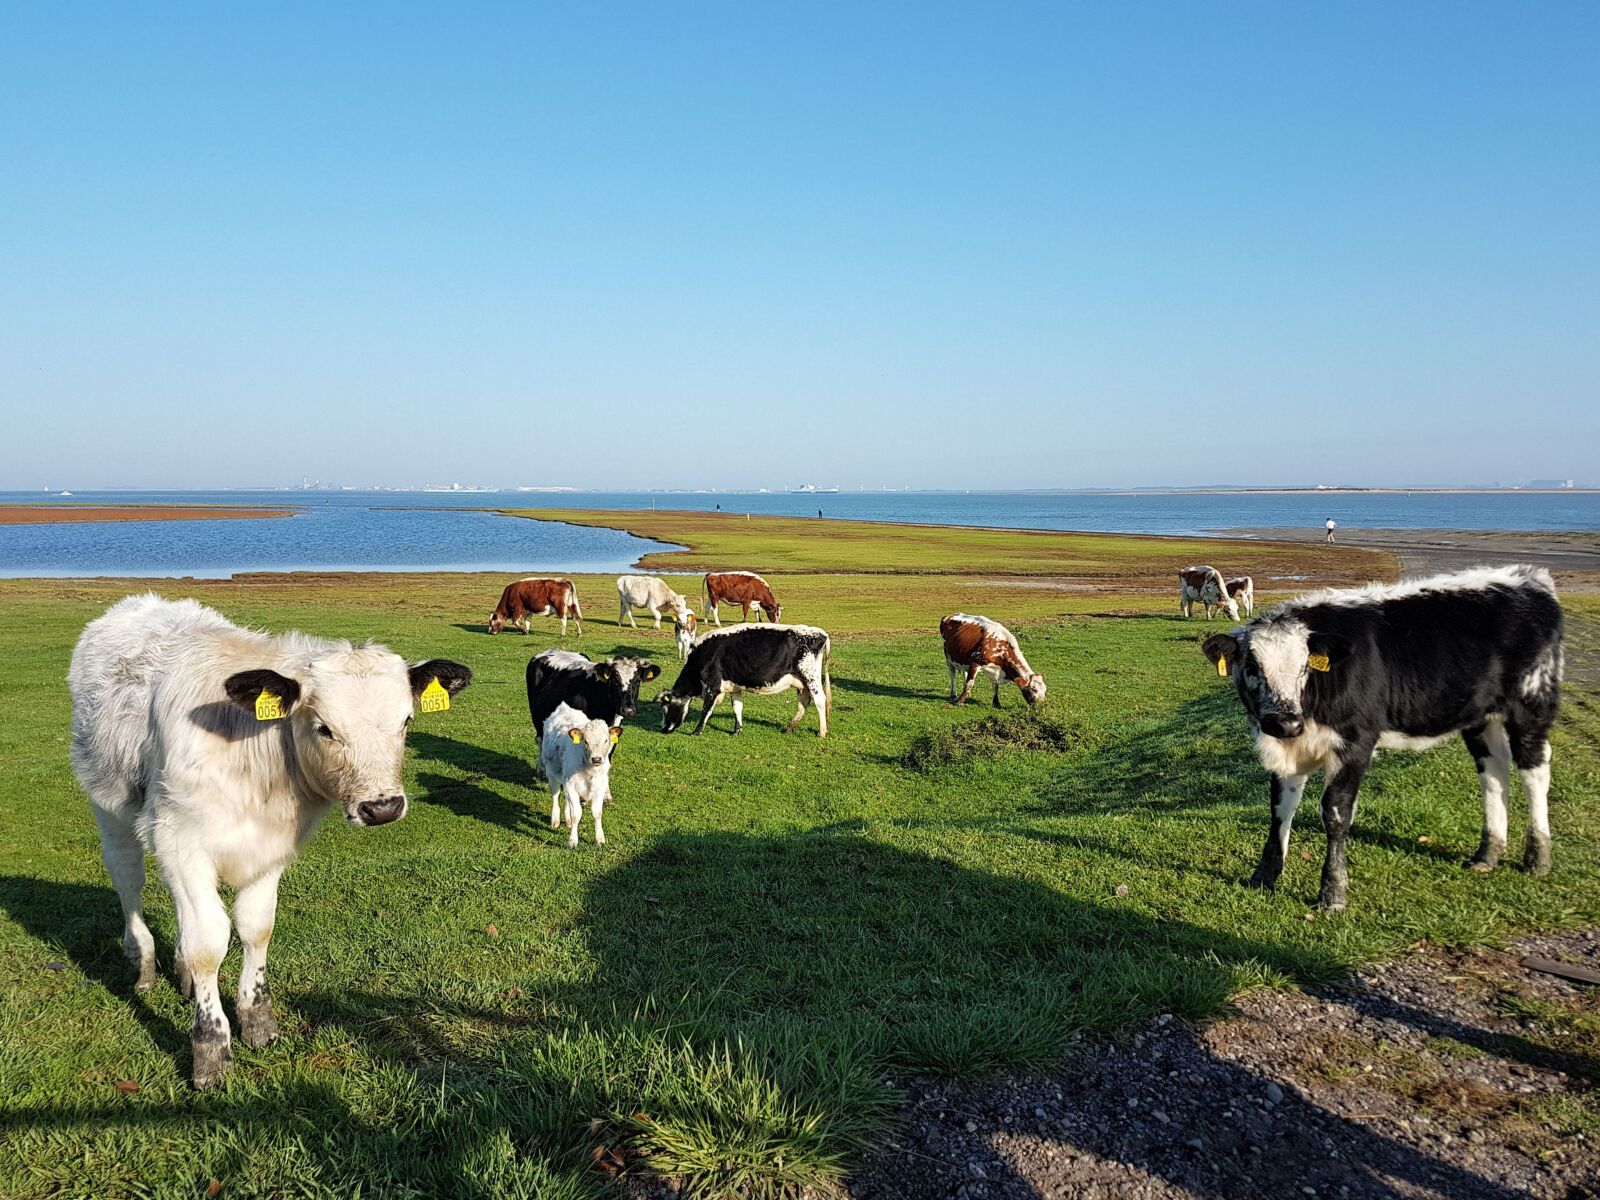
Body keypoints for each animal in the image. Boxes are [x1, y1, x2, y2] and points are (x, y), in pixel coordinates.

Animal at [68, 595, 471, 1087]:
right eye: (324, 727)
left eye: (406, 721)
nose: (383, 807)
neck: (251, 757)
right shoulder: (182, 842)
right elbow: (208, 943)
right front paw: (210, 1049)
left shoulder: (269, 849)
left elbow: (256, 927)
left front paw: (256, 1019)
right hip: (110, 807)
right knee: (128, 878)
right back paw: (142, 960)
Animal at [539, 703, 619, 848]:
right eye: (585, 741)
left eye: (606, 740)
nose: (597, 759)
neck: (590, 769)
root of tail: (563, 707)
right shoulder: (571, 785)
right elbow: (576, 814)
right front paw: (572, 841)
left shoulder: (600, 786)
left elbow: (597, 813)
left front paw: (600, 839)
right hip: (552, 773)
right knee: (555, 795)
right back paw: (555, 820)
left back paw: (568, 820)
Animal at [658, 623, 831, 737]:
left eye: (665, 709)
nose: (663, 729)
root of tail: (820, 633)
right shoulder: (734, 687)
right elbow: (737, 707)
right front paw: (736, 730)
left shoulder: (712, 686)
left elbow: (706, 710)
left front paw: (696, 731)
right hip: (802, 682)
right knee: (803, 702)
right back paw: (790, 728)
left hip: (811, 677)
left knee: (819, 700)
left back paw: (821, 732)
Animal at [1202, 564, 1563, 912]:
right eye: (1251, 667)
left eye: (1305, 668)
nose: (1286, 723)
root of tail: (1530, 578)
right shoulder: (1289, 748)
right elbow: (1279, 808)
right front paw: (1264, 876)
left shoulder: (1356, 742)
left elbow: (1335, 813)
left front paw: (1333, 893)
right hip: (1480, 716)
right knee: (1494, 771)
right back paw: (1487, 855)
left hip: (1531, 702)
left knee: (1534, 772)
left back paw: (1538, 857)